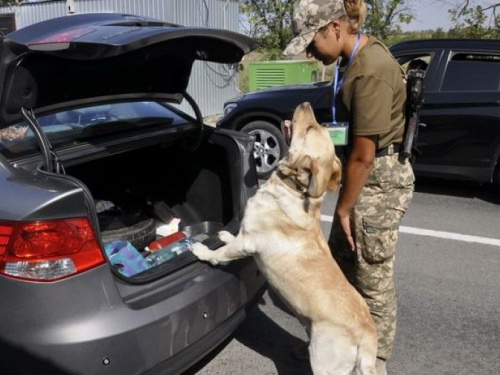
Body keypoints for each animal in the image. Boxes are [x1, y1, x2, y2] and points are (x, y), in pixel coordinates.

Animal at [193, 101, 376, 374]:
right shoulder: (244, 235)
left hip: (327, 364)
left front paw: (202, 251)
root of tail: (367, 337)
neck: (293, 191)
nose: (306, 103)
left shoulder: (248, 242)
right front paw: (225, 234)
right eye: (318, 126)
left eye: (310, 128)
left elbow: (220, 255)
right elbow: (231, 239)